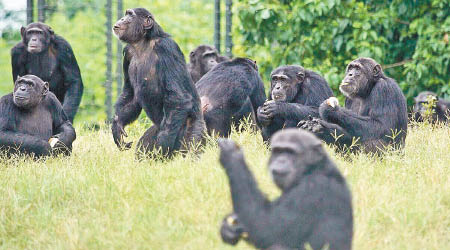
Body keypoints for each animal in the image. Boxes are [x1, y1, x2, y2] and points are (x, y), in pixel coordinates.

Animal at [111, 7, 205, 157]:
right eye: (126, 14)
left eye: (130, 15)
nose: (122, 19)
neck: (142, 43)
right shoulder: (127, 53)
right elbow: (130, 95)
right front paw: (117, 126)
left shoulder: (167, 48)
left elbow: (178, 97)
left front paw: (163, 143)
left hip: (194, 128)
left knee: (192, 146)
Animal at [218, 129, 352, 250]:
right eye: (278, 151)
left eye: (290, 152)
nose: (281, 160)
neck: (310, 170)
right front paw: (231, 227)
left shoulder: (312, 189)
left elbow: (267, 228)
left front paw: (232, 154)